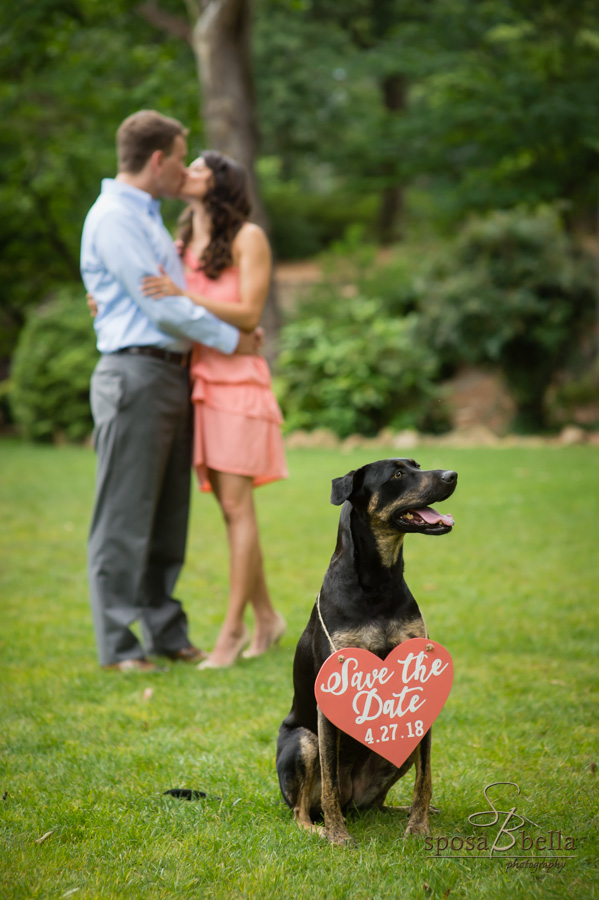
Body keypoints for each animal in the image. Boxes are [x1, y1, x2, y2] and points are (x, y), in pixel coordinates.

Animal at [278, 458, 460, 844]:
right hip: (303, 741)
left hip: (400, 751)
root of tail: (354, 802)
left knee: (378, 803)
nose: (452, 475)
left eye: (417, 465)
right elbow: (329, 783)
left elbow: (425, 778)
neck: (379, 580)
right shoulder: (329, 699)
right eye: (397, 474)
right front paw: (338, 837)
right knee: (303, 809)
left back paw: (399, 811)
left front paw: (419, 827)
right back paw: (318, 829)